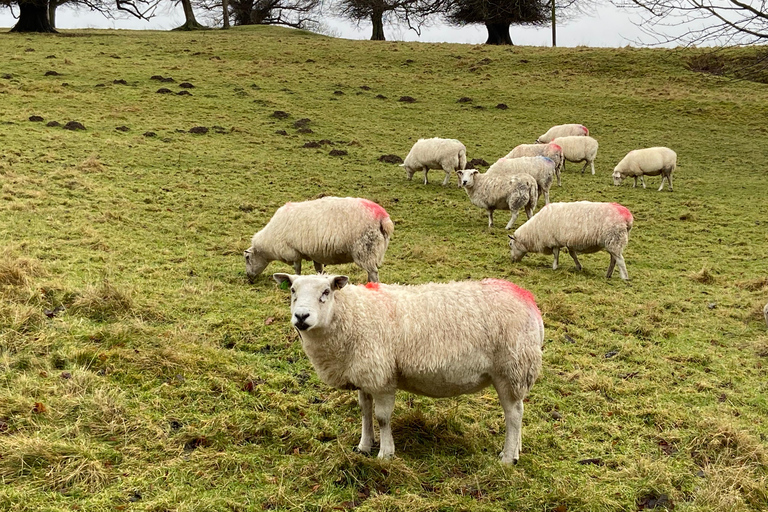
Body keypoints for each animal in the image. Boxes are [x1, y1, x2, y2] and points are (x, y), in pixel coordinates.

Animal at [243, 197, 392, 284]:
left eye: (247, 258)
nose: (249, 277)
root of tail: (383, 218)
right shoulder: (315, 253)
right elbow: (318, 269)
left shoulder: (293, 251)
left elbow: (297, 268)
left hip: (365, 248)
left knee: (373, 273)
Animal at [272, 272, 544, 464]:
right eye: (293, 290)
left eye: (326, 291)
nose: (301, 317)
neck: (354, 315)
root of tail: (529, 301)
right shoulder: (364, 374)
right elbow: (364, 411)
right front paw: (364, 446)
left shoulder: (381, 376)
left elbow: (382, 418)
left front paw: (385, 453)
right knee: (518, 412)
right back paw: (516, 450)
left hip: (511, 368)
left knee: (513, 414)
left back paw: (507, 458)